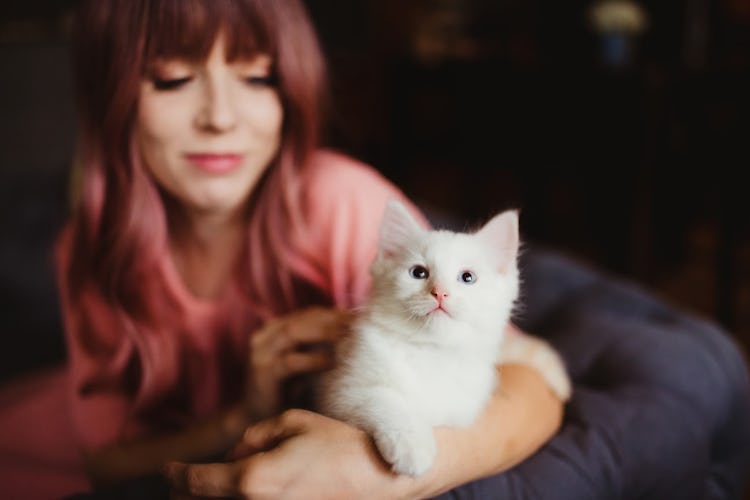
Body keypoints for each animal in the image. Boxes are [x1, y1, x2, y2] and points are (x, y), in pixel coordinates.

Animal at [320, 199, 572, 476]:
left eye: (467, 277)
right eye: (418, 273)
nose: (440, 292)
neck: (432, 351)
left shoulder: (462, 408)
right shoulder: (340, 389)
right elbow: (385, 399)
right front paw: (412, 445)